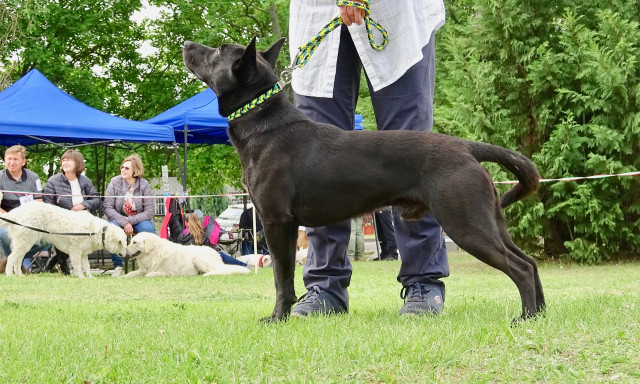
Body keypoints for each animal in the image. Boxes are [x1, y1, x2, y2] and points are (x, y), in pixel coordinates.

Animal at [0, 200, 129, 278]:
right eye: (122, 244)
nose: (127, 254)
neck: (98, 231)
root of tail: (18, 211)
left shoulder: (83, 253)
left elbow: (86, 266)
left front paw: (90, 277)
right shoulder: (75, 251)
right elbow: (77, 266)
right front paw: (80, 277)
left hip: (25, 244)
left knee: (17, 260)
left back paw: (19, 275)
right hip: (24, 241)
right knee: (11, 258)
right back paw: (9, 274)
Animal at [122, 231, 250, 276]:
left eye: (134, 242)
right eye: (131, 241)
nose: (124, 250)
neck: (153, 254)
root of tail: (217, 254)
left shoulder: (169, 273)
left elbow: (148, 275)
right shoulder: (142, 270)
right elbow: (130, 274)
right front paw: (122, 277)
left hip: (199, 259)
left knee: (216, 271)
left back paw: (206, 275)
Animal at [184, 38, 544, 320]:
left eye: (218, 51)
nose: (186, 45)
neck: (266, 125)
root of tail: (466, 146)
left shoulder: (276, 221)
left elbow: (281, 279)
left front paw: (277, 318)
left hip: (465, 223)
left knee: (520, 267)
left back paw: (525, 317)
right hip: (488, 221)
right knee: (529, 261)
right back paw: (539, 314)